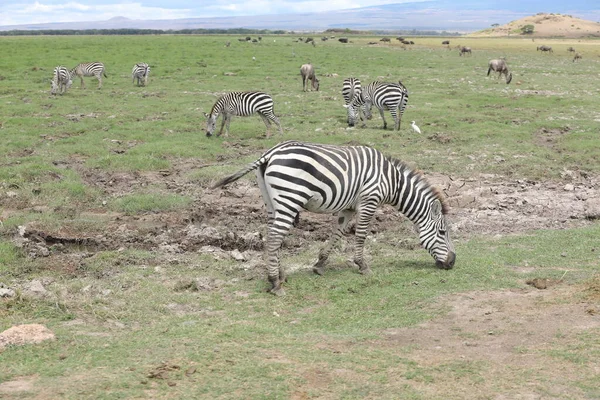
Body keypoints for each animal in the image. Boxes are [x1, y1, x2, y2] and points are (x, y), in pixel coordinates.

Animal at [211, 141, 454, 294]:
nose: (452, 263)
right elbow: (361, 235)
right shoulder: (369, 200)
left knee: (273, 236)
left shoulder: (349, 207)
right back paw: (275, 284)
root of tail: (270, 153)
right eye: (442, 232)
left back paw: (281, 275)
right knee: (274, 238)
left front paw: (320, 264)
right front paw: (362, 265)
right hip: (290, 198)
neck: (392, 181)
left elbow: (338, 232)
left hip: (272, 201)